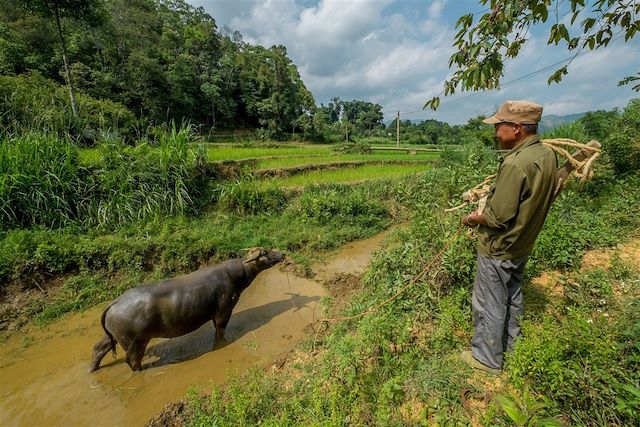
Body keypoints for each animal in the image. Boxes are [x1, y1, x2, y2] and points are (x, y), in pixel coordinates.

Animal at [89, 249, 284, 372]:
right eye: (264, 253)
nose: (282, 253)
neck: (239, 274)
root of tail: (115, 302)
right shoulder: (223, 312)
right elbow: (220, 331)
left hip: (114, 336)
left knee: (99, 347)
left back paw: (92, 369)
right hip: (135, 342)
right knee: (132, 360)